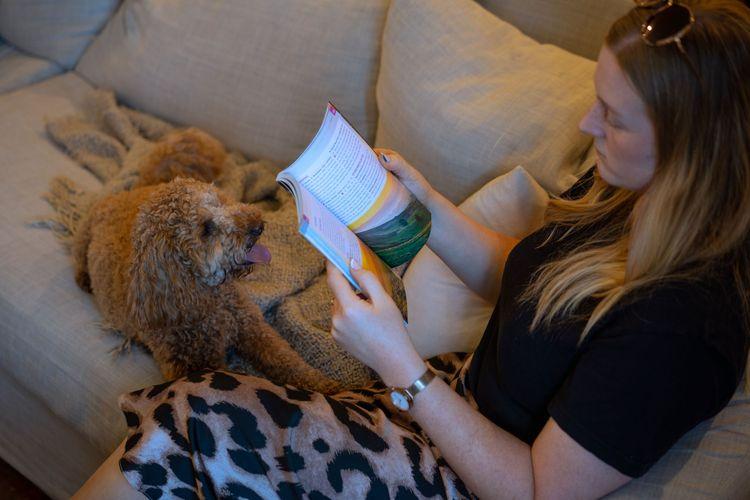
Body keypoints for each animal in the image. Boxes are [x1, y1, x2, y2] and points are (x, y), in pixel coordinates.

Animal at [72, 134, 340, 394]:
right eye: (206, 229)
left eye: (220, 200)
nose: (257, 225)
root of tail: (136, 189)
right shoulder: (194, 366)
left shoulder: (252, 327)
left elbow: (288, 360)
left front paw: (328, 388)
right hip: (86, 228)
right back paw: (83, 278)